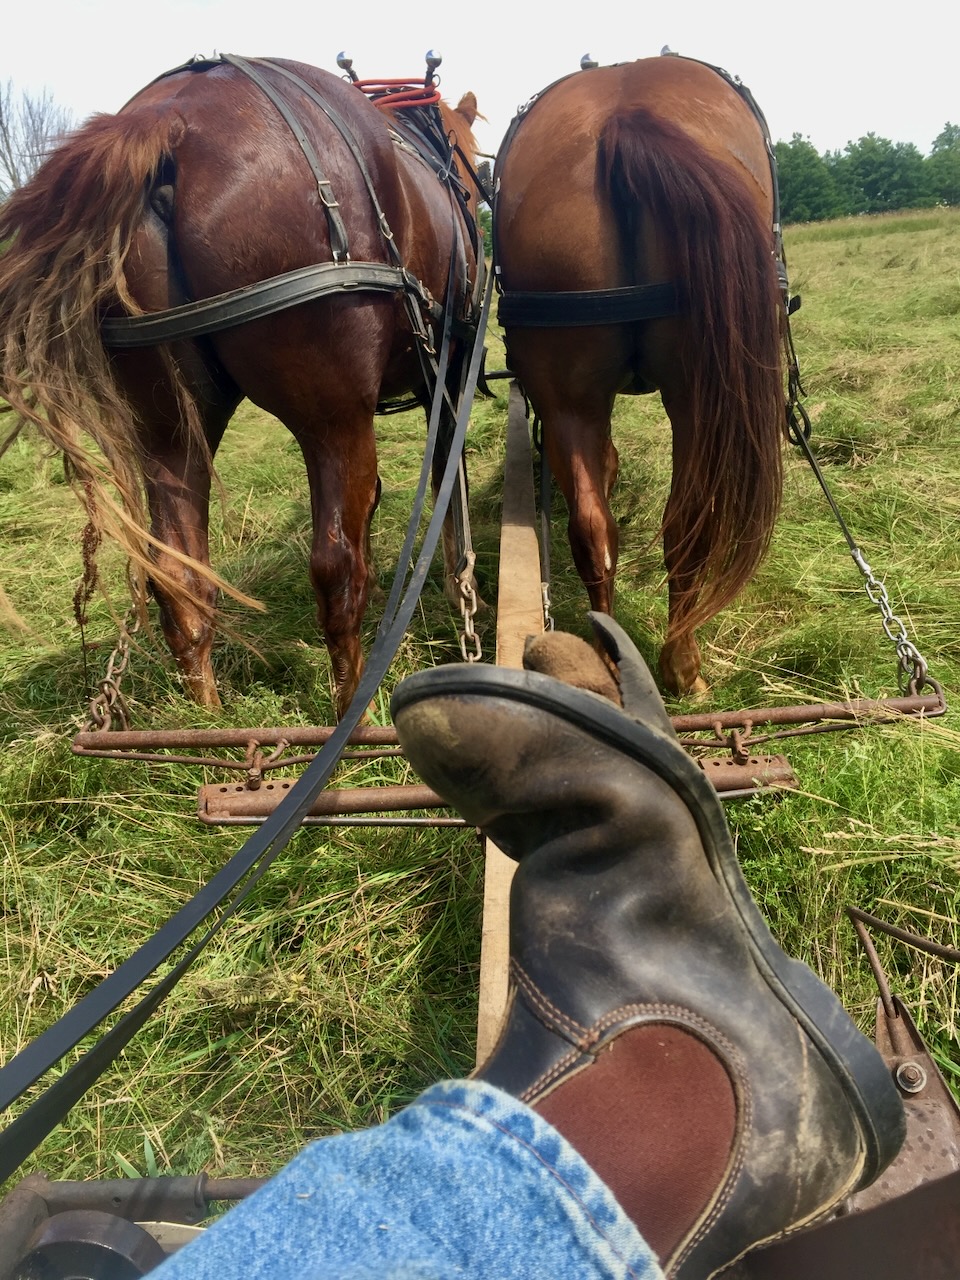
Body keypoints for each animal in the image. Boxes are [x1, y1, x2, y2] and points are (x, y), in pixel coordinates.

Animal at [0, 55, 485, 718]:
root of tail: (171, 120)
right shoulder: (450, 371)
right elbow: (447, 488)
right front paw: (462, 590)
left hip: (169, 426)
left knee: (179, 576)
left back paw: (207, 716)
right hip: (333, 417)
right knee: (337, 566)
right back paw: (354, 713)